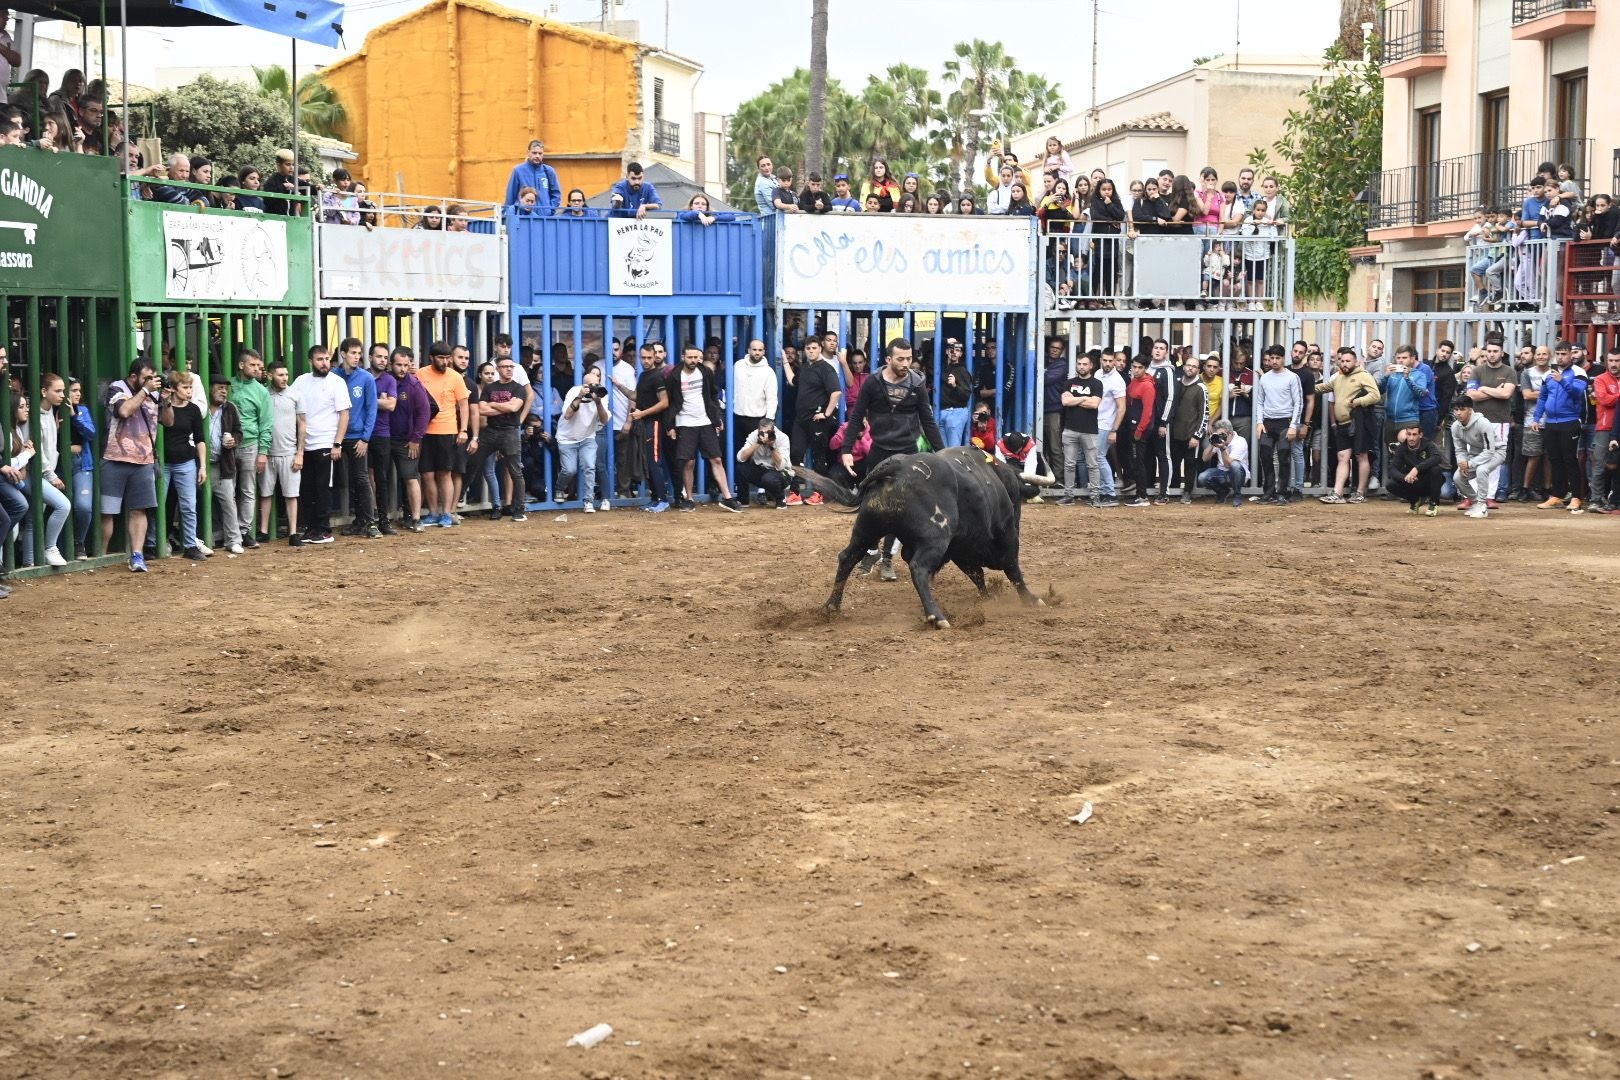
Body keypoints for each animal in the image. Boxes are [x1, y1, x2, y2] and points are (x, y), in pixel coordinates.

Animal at [790, 450, 1043, 634]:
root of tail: (897, 467)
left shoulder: (961, 552)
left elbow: (978, 575)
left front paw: (989, 596)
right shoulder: (1007, 535)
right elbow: (1013, 570)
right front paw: (1030, 599)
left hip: (866, 530)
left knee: (847, 557)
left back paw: (832, 606)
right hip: (936, 538)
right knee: (919, 568)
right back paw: (936, 616)